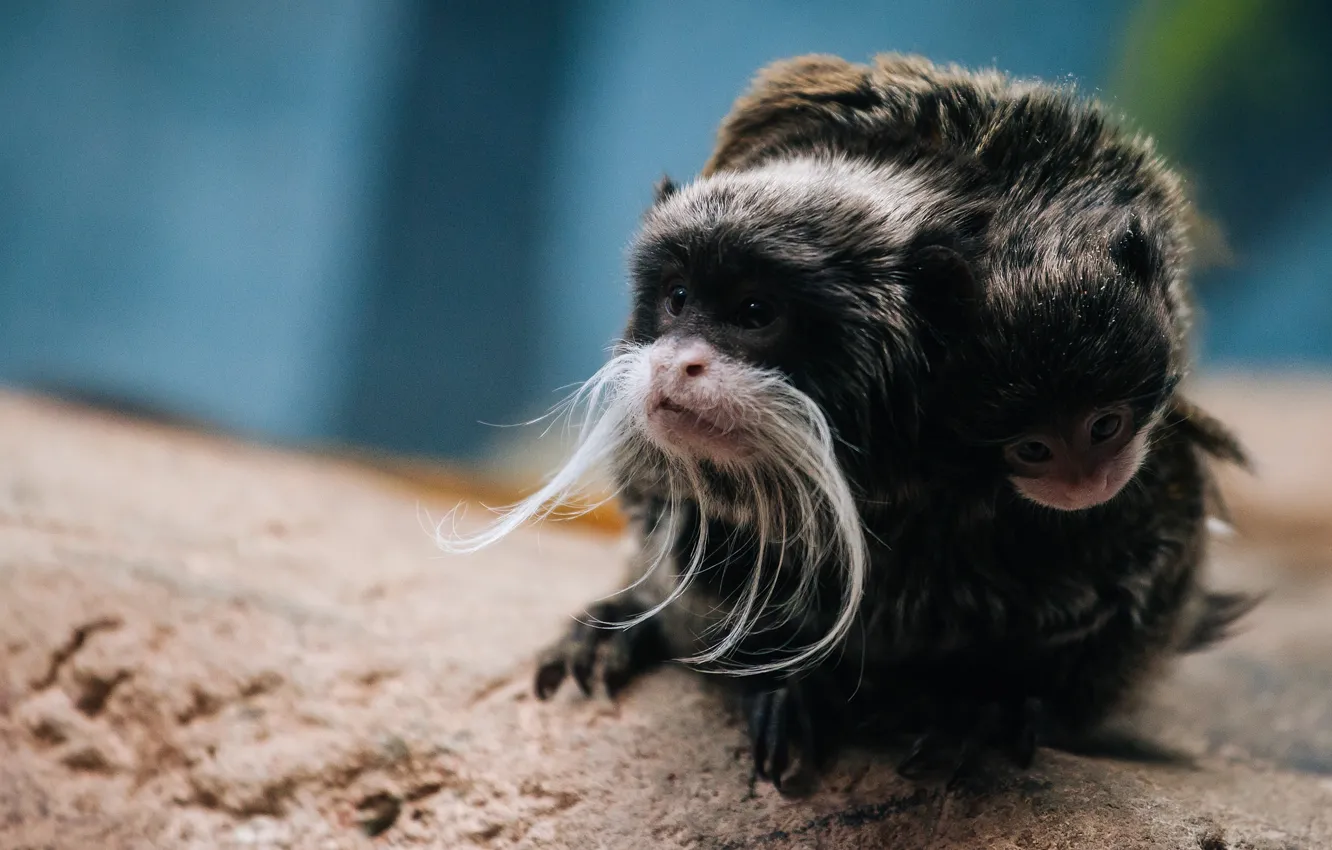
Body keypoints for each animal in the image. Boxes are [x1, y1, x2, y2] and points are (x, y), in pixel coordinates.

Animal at [436, 54, 1258, 793]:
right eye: (676, 300)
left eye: (756, 312)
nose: (677, 364)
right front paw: (788, 688)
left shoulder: (1139, 491)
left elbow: (1118, 620)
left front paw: (987, 707)